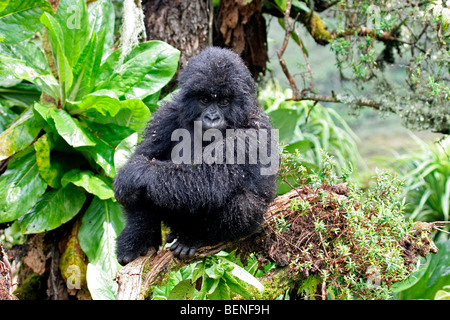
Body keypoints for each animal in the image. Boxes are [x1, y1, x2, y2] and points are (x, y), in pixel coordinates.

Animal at [113, 45, 278, 264]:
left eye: (224, 102)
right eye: (205, 99)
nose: (212, 117)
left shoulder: (253, 131)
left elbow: (209, 181)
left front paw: (134, 174)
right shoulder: (167, 114)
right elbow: (144, 158)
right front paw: (136, 236)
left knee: (244, 204)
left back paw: (197, 237)